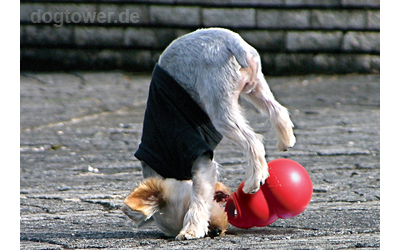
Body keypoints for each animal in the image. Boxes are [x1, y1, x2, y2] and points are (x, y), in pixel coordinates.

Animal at [126, 27, 296, 240]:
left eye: (185, 211)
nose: (215, 231)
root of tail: (231, 41)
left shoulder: (197, 158)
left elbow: (199, 195)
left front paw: (190, 230)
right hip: (255, 87)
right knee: (277, 110)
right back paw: (286, 141)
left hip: (220, 106)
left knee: (253, 141)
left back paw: (253, 181)